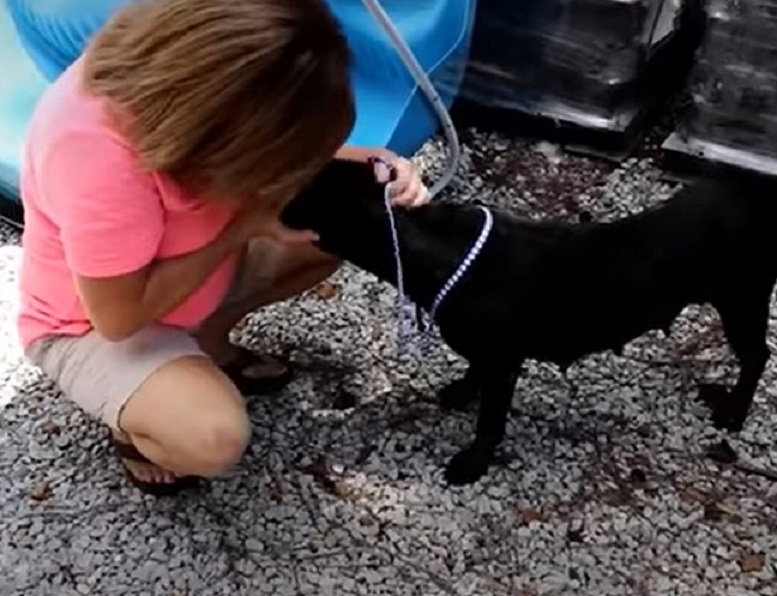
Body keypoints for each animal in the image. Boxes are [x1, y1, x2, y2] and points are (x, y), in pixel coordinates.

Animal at [282, 161, 776, 486]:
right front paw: (460, 392)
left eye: (308, 191)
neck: (436, 250)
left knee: (758, 355)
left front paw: (472, 463)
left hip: (742, 303)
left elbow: (490, 420)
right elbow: (473, 372)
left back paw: (734, 410)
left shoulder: (504, 362)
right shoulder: (487, 355)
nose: (277, 204)